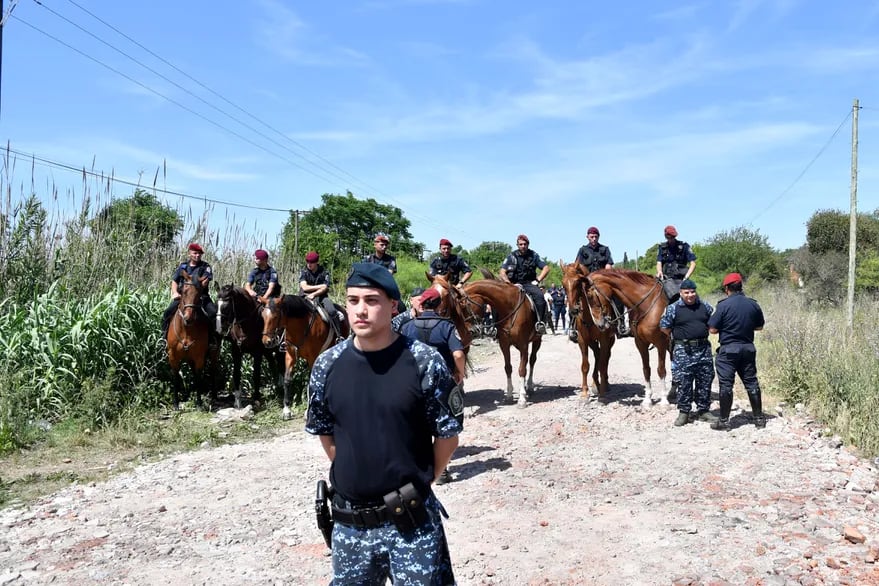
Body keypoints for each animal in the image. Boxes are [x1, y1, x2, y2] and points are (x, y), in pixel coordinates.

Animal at [168, 268, 217, 408]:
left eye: (199, 293)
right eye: (183, 291)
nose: (188, 318)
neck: (186, 330)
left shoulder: (199, 356)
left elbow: (199, 376)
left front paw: (199, 402)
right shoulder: (173, 356)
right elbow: (176, 377)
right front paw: (176, 403)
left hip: (214, 353)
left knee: (213, 371)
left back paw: (214, 396)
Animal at [454, 266, 544, 406]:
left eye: (463, 305)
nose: (469, 331)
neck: (510, 307)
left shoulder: (523, 345)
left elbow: (522, 369)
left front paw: (522, 398)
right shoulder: (504, 344)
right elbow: (508, 368)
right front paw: (509, 395)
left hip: (537, 340)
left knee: (532, 360)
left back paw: (529, 386)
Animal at [560, 260, 616, 396]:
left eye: (577, 282)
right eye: (563, 284)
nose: (573, 310)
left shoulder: (604, 339)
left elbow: (603, 363)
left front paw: (603, 390)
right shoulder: (582, 340)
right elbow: (585, 365)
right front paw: (585, 392)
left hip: (610, 340)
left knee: (605, 357)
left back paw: (604, 383)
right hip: (591, 341)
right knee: (597, 354)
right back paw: (595, 383)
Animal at [584, 270, 672, 406]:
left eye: (590, 296)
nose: (599, 324)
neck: (648, 305)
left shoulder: (660, 343)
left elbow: (661, 370)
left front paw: (663, 400)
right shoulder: (641, 343)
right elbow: (646, 369)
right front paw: (647, 400)